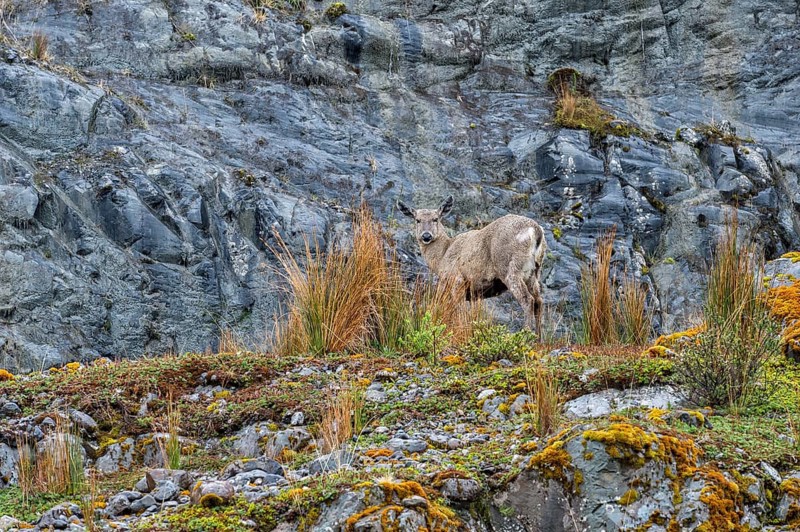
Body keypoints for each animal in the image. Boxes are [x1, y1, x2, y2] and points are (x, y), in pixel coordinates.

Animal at [397, 196, 547, 334]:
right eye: (417, 220)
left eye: (435, 219)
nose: (426, 236)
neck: (442, 255)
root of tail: (536, 230)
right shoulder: (474, 293)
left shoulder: (456, 279)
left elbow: (460, 311)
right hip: (533, 273)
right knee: (539, 301)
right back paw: (538, 339)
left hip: (509, 268)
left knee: (528, 299)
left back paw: (526, 334)